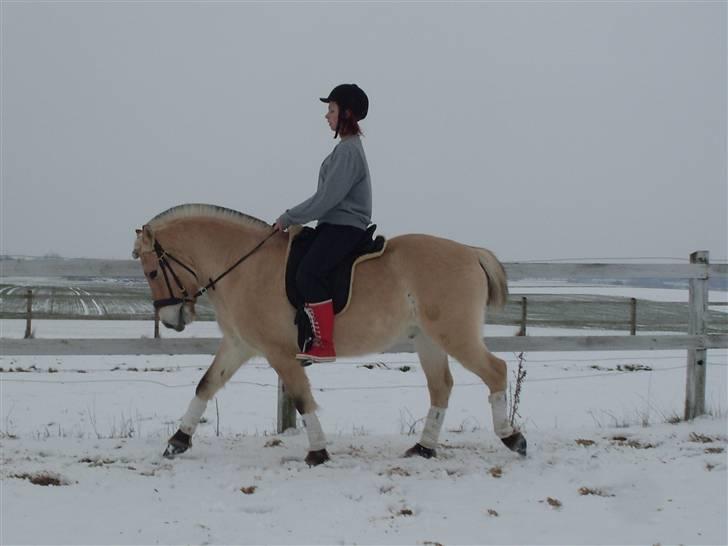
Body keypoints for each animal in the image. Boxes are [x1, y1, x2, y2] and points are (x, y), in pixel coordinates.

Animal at [134, 204, 528, 464]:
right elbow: (206, 385)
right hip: (428, 340)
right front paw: (177, 441)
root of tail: (471, 253)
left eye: (152, 272)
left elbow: (301, 398)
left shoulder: (279, 353)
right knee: (441, 386)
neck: (243, 267)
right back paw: (424, 448)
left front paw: (318, 451)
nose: (170, 320)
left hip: (454, 335)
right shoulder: (239, 345)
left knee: (496, 371)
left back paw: (513, 438)